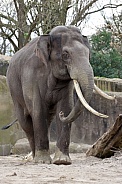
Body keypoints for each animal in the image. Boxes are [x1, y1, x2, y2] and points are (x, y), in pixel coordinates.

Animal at [6, 25, 114, 165]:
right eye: (65, 55)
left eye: (88, 54)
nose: (62, 115)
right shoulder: (31, 76)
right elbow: (38, 111)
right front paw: (42, 161)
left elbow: (66, 107)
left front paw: (62, 161)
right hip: (14, 91)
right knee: (26, 122)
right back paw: (34, 158)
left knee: (47, 119)